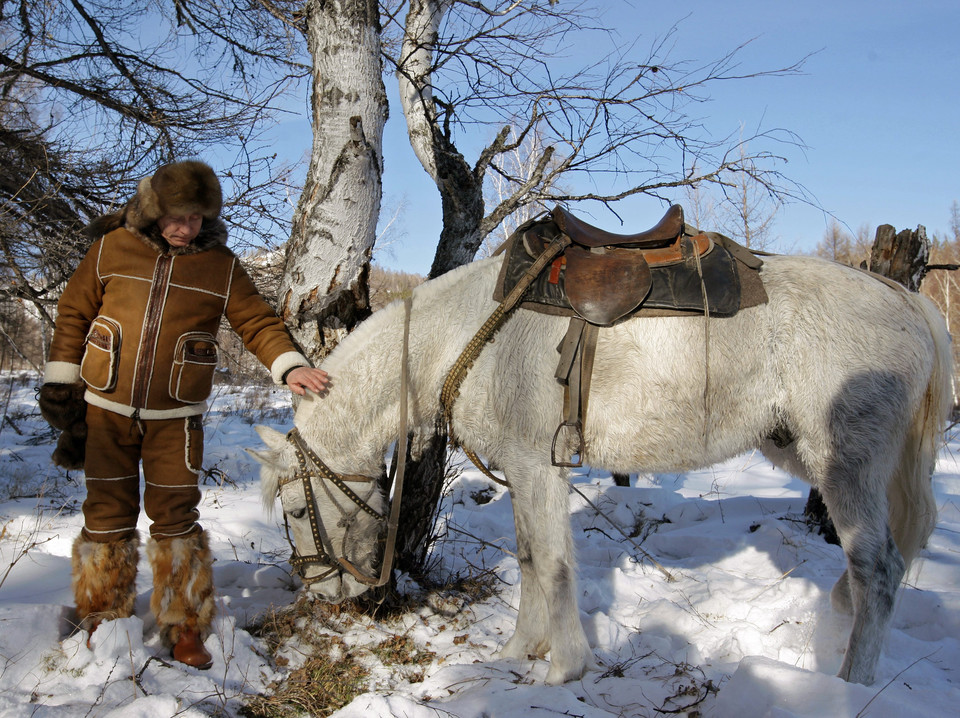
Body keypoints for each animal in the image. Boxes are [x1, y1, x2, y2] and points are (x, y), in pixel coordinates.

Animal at [249, 252, 952, 688]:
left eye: (295, 509)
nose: (325, 594)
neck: (461, 334)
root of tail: (907, 300)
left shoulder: (539, 470)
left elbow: (555, 565)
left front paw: (564, 669)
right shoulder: (522, 472)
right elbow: (531, 559)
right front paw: (517, 653)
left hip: (847, 467)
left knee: (877, 569)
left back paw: (850, 686)